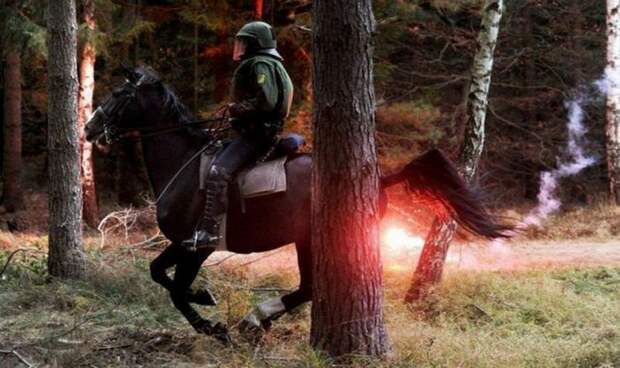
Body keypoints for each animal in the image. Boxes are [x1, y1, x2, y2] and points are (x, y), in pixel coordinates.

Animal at [85, 67, 512, 344]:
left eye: (119, 95)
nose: (89, 128)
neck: (184, 163)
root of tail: (378, 177)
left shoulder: (197, 246)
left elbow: (175, 288)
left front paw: (212, 321)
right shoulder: (180, 245)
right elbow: (159, 273)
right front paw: (207, 304)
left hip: (314, 239)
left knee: (308, 288)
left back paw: (252, 319)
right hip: (306, 240)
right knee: (307, 288)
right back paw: (255, 321)